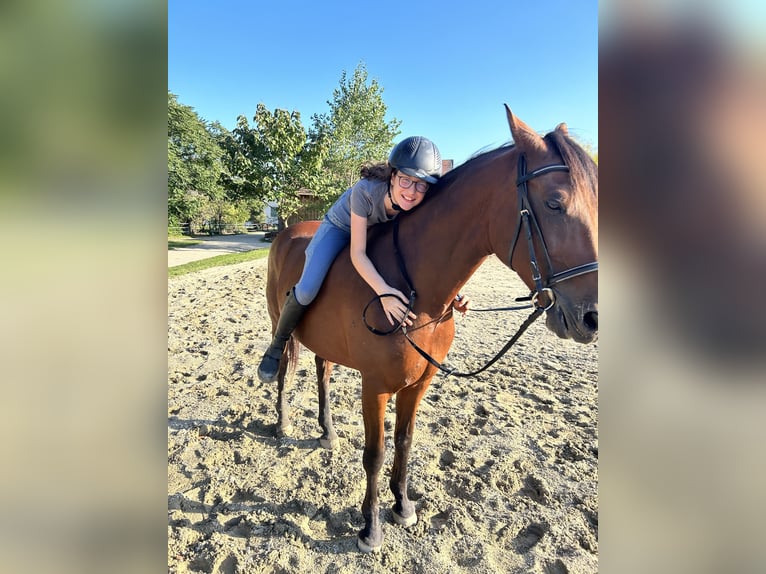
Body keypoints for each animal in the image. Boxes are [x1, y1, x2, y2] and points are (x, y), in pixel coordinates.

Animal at [262, 106, 598, 552]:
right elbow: (375, 454)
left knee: (323, 373)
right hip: (281, 326)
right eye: (555, 203)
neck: (416, 291)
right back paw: (282, 420)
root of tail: (287, 232)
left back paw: (327, 431)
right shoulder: (375, 387)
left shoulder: (419, 382)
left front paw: (402, 507)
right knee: (283, 368)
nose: (592, 317)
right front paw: (370, 528)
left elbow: (404, 442)